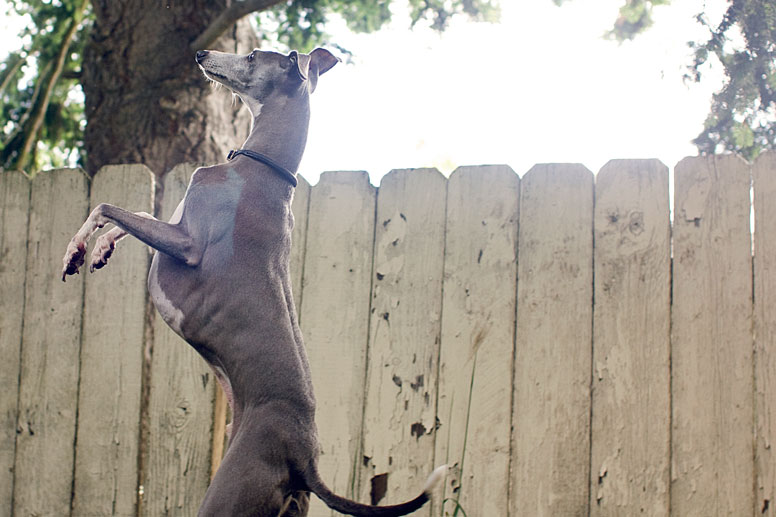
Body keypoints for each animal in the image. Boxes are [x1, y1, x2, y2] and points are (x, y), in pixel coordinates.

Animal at [63, 46, 446, 512]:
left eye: (251, 56)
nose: (201, 53)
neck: (263, 168)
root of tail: (304, 460)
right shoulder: (173, 229)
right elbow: (134, 214)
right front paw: (101, 249)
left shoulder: (187, 245)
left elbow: (106, 207)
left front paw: (77, 249)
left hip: (229, 495)